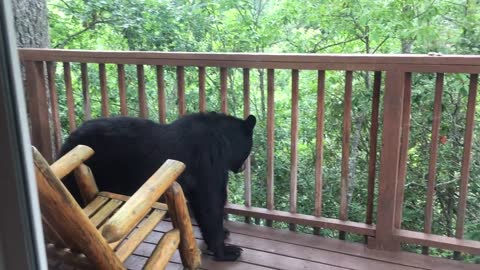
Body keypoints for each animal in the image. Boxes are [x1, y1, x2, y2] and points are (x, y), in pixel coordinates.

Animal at [59, 110, 256, 260]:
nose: (241, 167)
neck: (223, 140)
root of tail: (68, 142)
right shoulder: (207, 165)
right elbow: (210, 205)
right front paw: (226, 251)